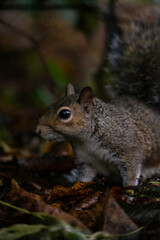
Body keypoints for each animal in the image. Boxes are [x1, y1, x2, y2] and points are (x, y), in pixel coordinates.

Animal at [35, 7, 160, 188]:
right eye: (49, 105)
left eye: (65, 114)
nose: (37, 130)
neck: (86, 139)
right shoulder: (86, 160)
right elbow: (84, 177)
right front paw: (75, 186)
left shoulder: (128, 147)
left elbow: (132, 167)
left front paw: (129, 188)